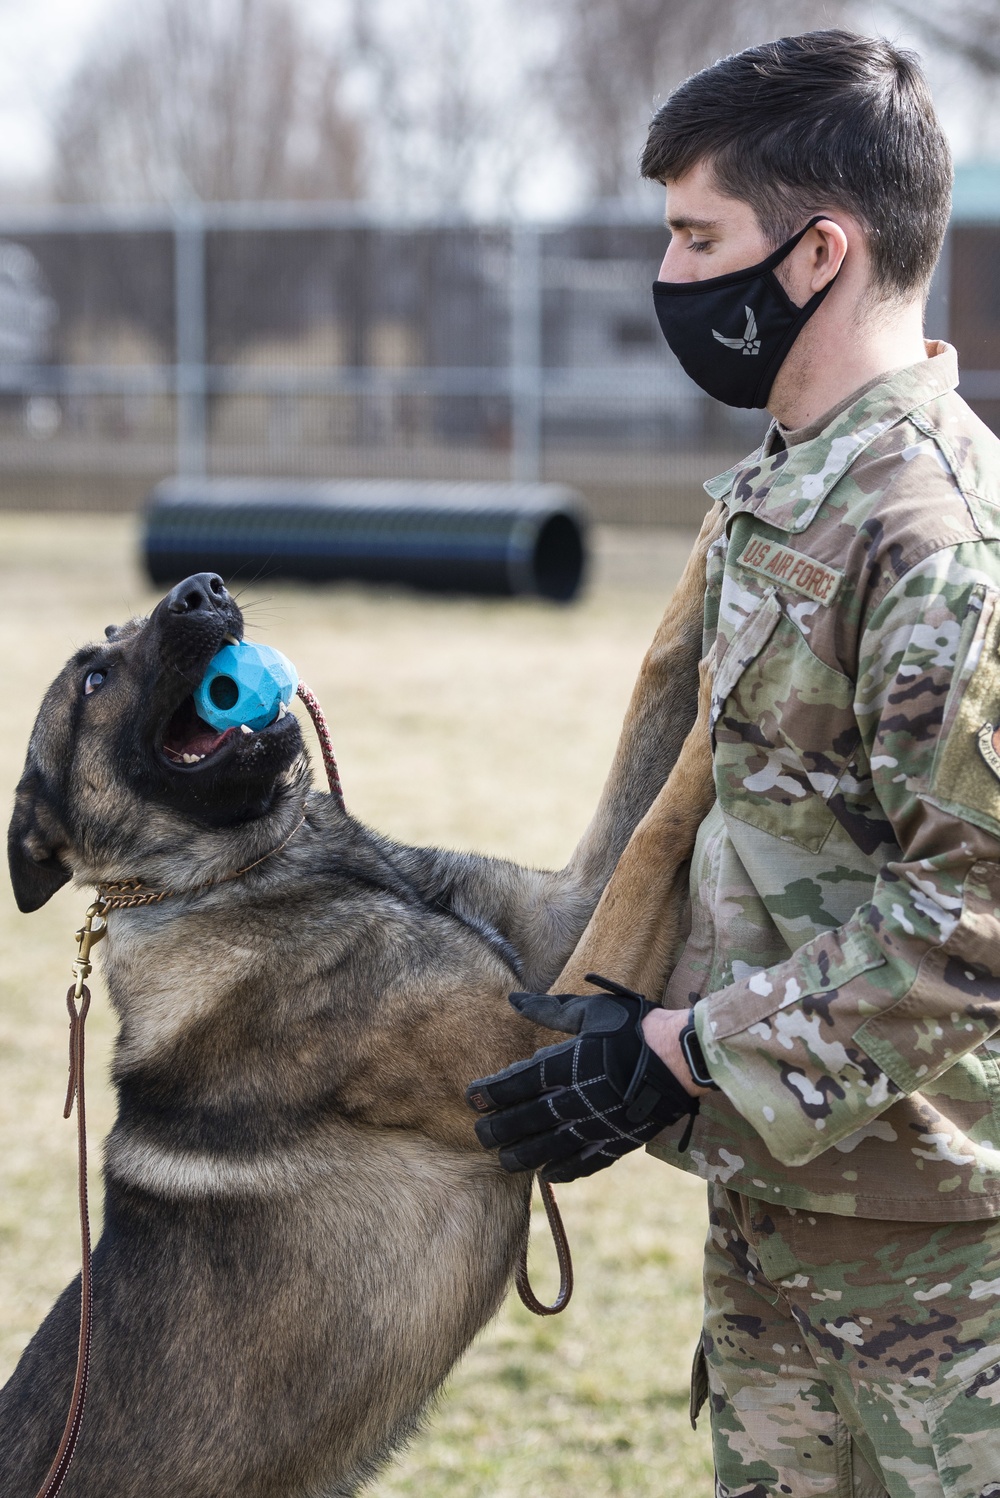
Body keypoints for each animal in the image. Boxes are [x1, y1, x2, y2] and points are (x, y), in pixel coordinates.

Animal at [0, 509, 718, 1492]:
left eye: (129, 631)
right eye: (96, 678)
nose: (202, 587)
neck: (250, 870)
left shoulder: (562, 925)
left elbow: (655, 693)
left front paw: (727, 532)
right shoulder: (539, 1038)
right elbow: (662, 821)